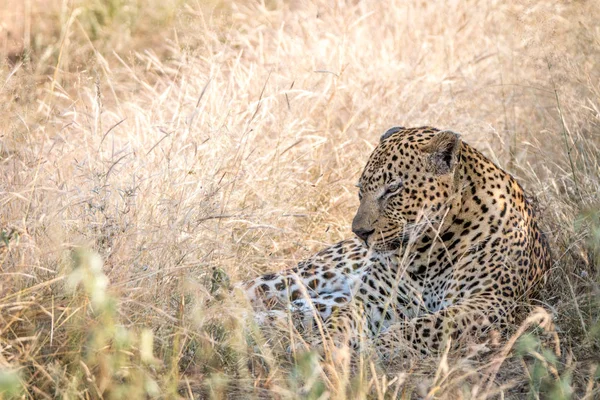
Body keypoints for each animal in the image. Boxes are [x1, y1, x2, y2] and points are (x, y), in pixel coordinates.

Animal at [237, 126, 552, 356]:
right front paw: (327, 346)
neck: (429, 252)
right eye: (361, 190)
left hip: (321, 298)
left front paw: (379, 347)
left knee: (293, 312)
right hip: (308, 276)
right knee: (248, 290)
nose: (360, 232)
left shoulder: (489, 303)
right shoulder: (374, 300)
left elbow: (425, 326)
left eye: (393, 189)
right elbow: (342, 321)